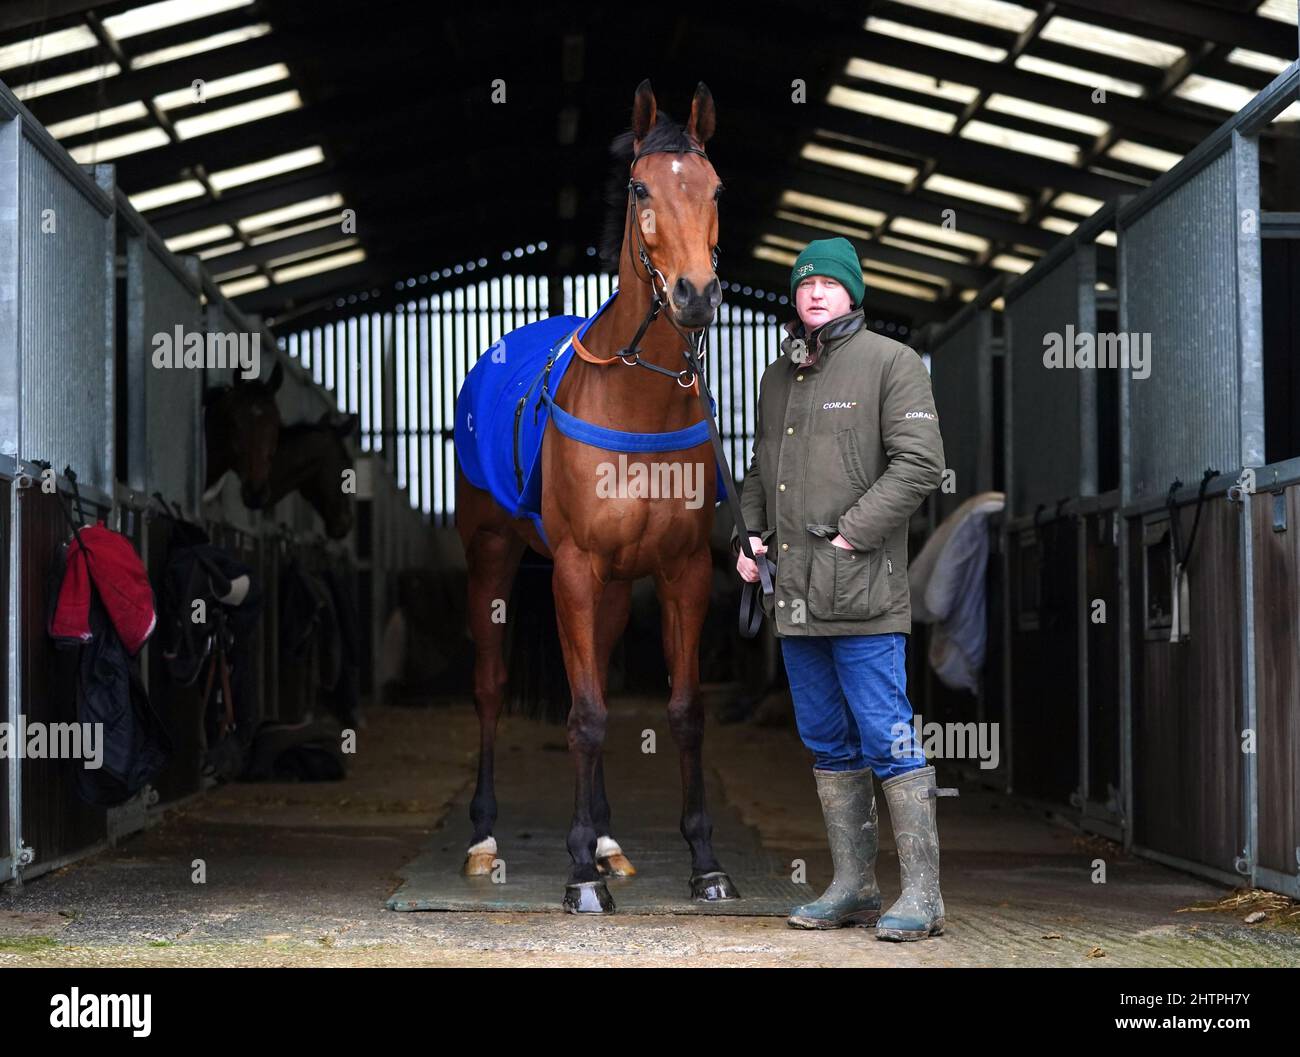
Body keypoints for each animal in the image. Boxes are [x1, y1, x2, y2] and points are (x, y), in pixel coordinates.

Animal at [454, 82, 733, 910]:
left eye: (714, 189)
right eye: (642, 189)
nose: (696, 295)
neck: (638, 401)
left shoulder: (682, 571)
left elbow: (683, 710)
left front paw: (704, 860)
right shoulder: (574, 568)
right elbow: (583, 714)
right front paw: (578, 872)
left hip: (611, 584)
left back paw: (610, 842)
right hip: (492, 554)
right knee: (490, 686)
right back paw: (486, 838)